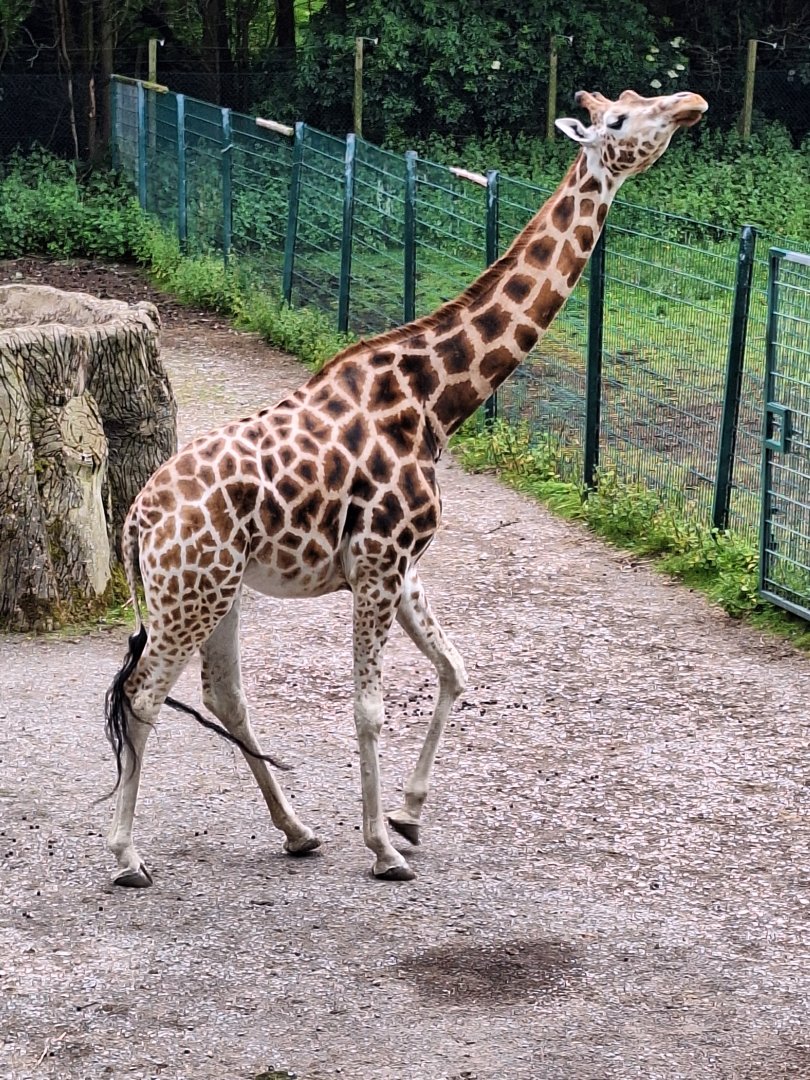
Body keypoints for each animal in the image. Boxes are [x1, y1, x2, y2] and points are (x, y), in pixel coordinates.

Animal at [104, 88, 707, 886]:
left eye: (641, 100)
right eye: (620, 119)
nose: (693, 104)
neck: (437, 399)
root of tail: (136, 519)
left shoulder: (404, 564)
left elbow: (454, 670)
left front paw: (408, 814)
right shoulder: (380, 560)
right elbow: (370, 707)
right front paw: (383, 849)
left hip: (215, 591)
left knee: (222, 695)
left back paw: (297, 830)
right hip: (189, 594)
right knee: (142, 696)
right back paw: (127, 855)